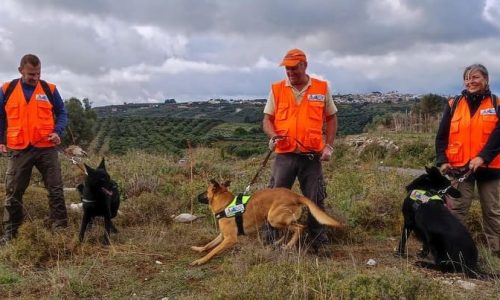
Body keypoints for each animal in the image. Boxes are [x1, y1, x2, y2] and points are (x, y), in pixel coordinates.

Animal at [189, 179, 342, 266]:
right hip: (274, 219)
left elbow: (213, 251)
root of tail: (295, 195)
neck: (225, 204)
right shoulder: (222, 236)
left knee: (300, 227)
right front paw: (199, 249)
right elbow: (209, 245)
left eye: (206, 191)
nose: (196, 196)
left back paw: (288, 245)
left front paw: (201, 261)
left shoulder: (230, 239)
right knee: (289, 230)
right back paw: (278, 243)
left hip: (273, 218)